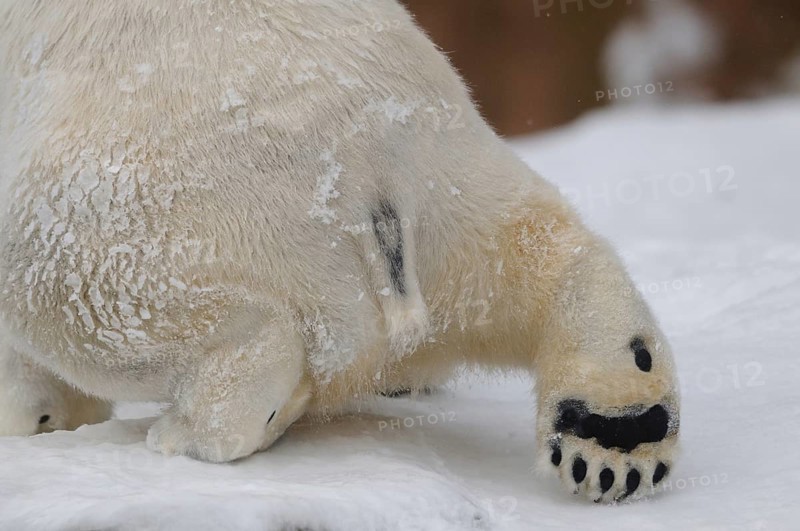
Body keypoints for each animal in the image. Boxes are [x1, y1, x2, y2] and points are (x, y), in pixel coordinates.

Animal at [0, 0, 679, 503]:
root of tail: (368, 168)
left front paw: (35, 416)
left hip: (155, 193)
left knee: (78, 282)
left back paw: (192, 429)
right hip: (453, 183)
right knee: (545, 255)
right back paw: (617, 440)